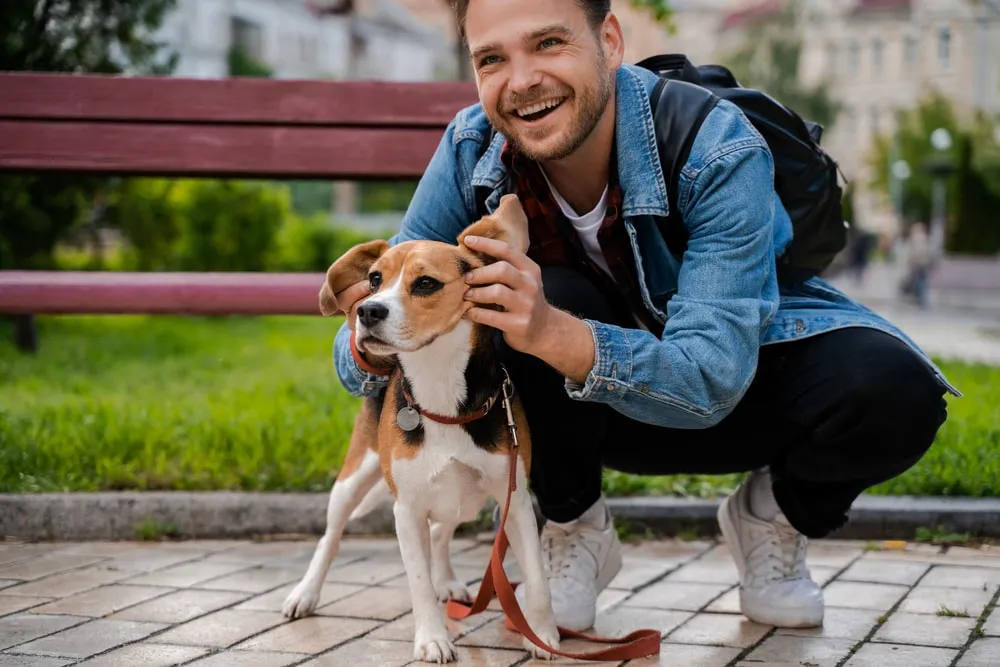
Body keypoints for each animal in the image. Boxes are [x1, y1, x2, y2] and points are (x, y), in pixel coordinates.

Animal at [284, 194, 564, 664]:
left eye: (427, 284)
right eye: (375, 279)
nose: (367, 310)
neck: (440, 389)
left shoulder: (516, 504)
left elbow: (540, 583)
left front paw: (542, 635)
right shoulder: (407, 509)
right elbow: (417, 583)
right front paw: (433, 638)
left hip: (467, 501)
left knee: (440, 533)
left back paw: (447, 581)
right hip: (352, 480)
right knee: (330, 538)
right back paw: (305, 594)